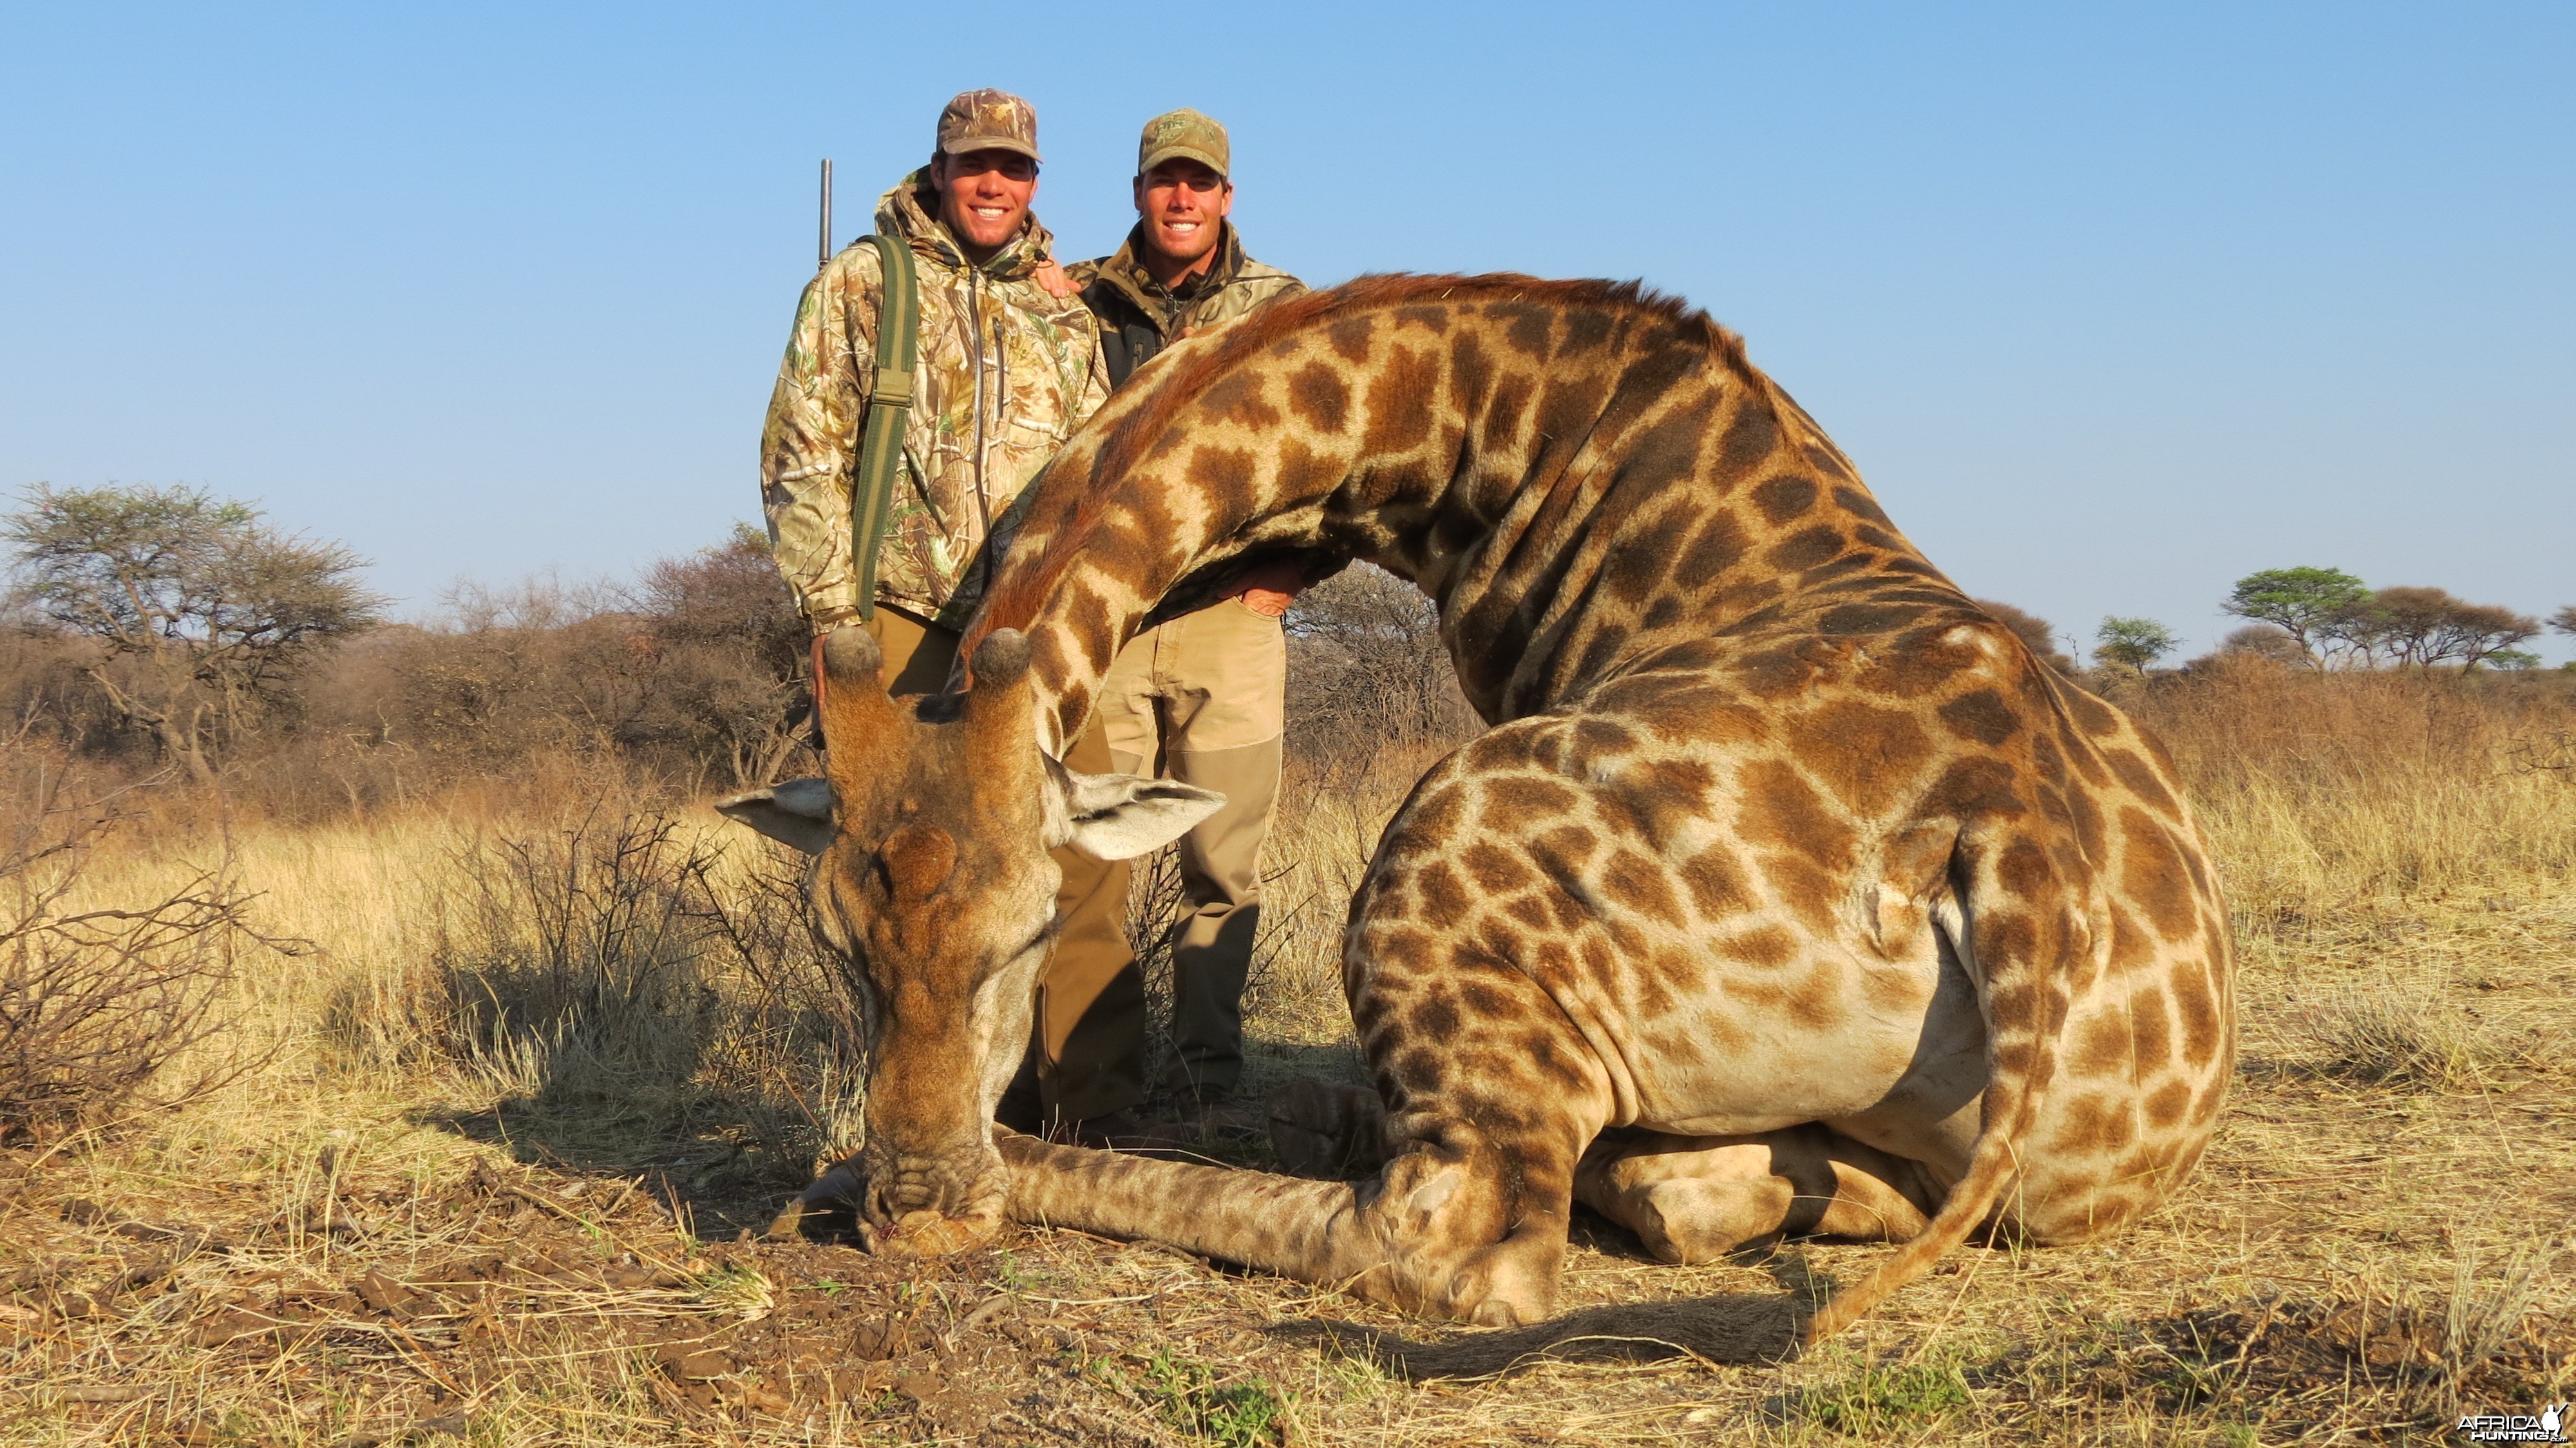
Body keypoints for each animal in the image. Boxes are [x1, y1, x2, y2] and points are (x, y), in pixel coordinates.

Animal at [721, 273, 2236, 1340]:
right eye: (840, 946)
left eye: (1035, 932)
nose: (923, 1210)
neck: (1514, 426)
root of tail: (2010, 845)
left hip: (1428, 841)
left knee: (1454, 1240)